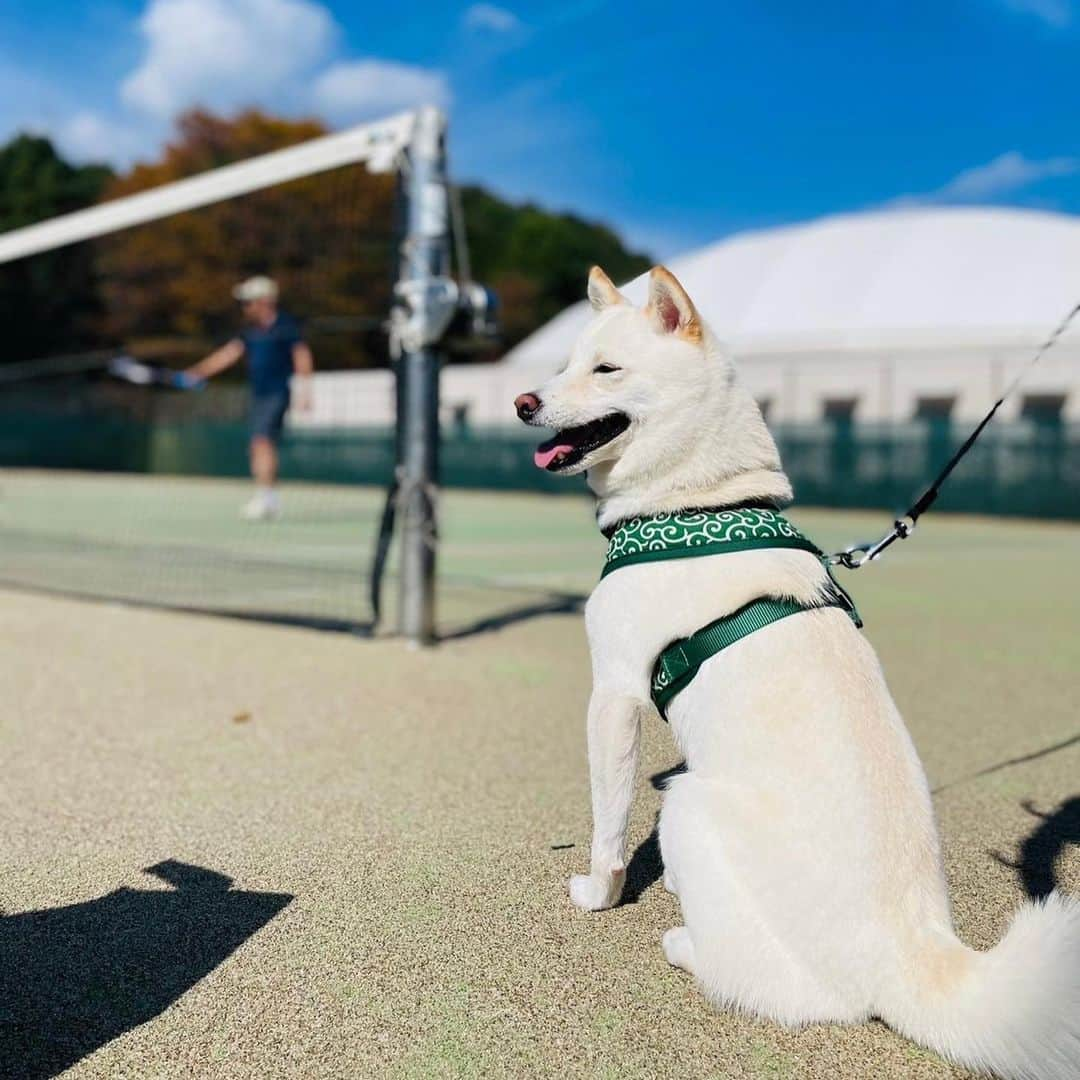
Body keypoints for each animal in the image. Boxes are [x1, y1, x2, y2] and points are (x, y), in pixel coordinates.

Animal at [514, 263, 1080, 1080]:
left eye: (606, 370)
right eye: (564, 365)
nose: (522, 402)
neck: (694, 504)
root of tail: (912, 952)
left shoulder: (613, 695)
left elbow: (608, 822)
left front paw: (599, 892)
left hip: (689, 805)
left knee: (792, 995)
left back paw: (688, 945)